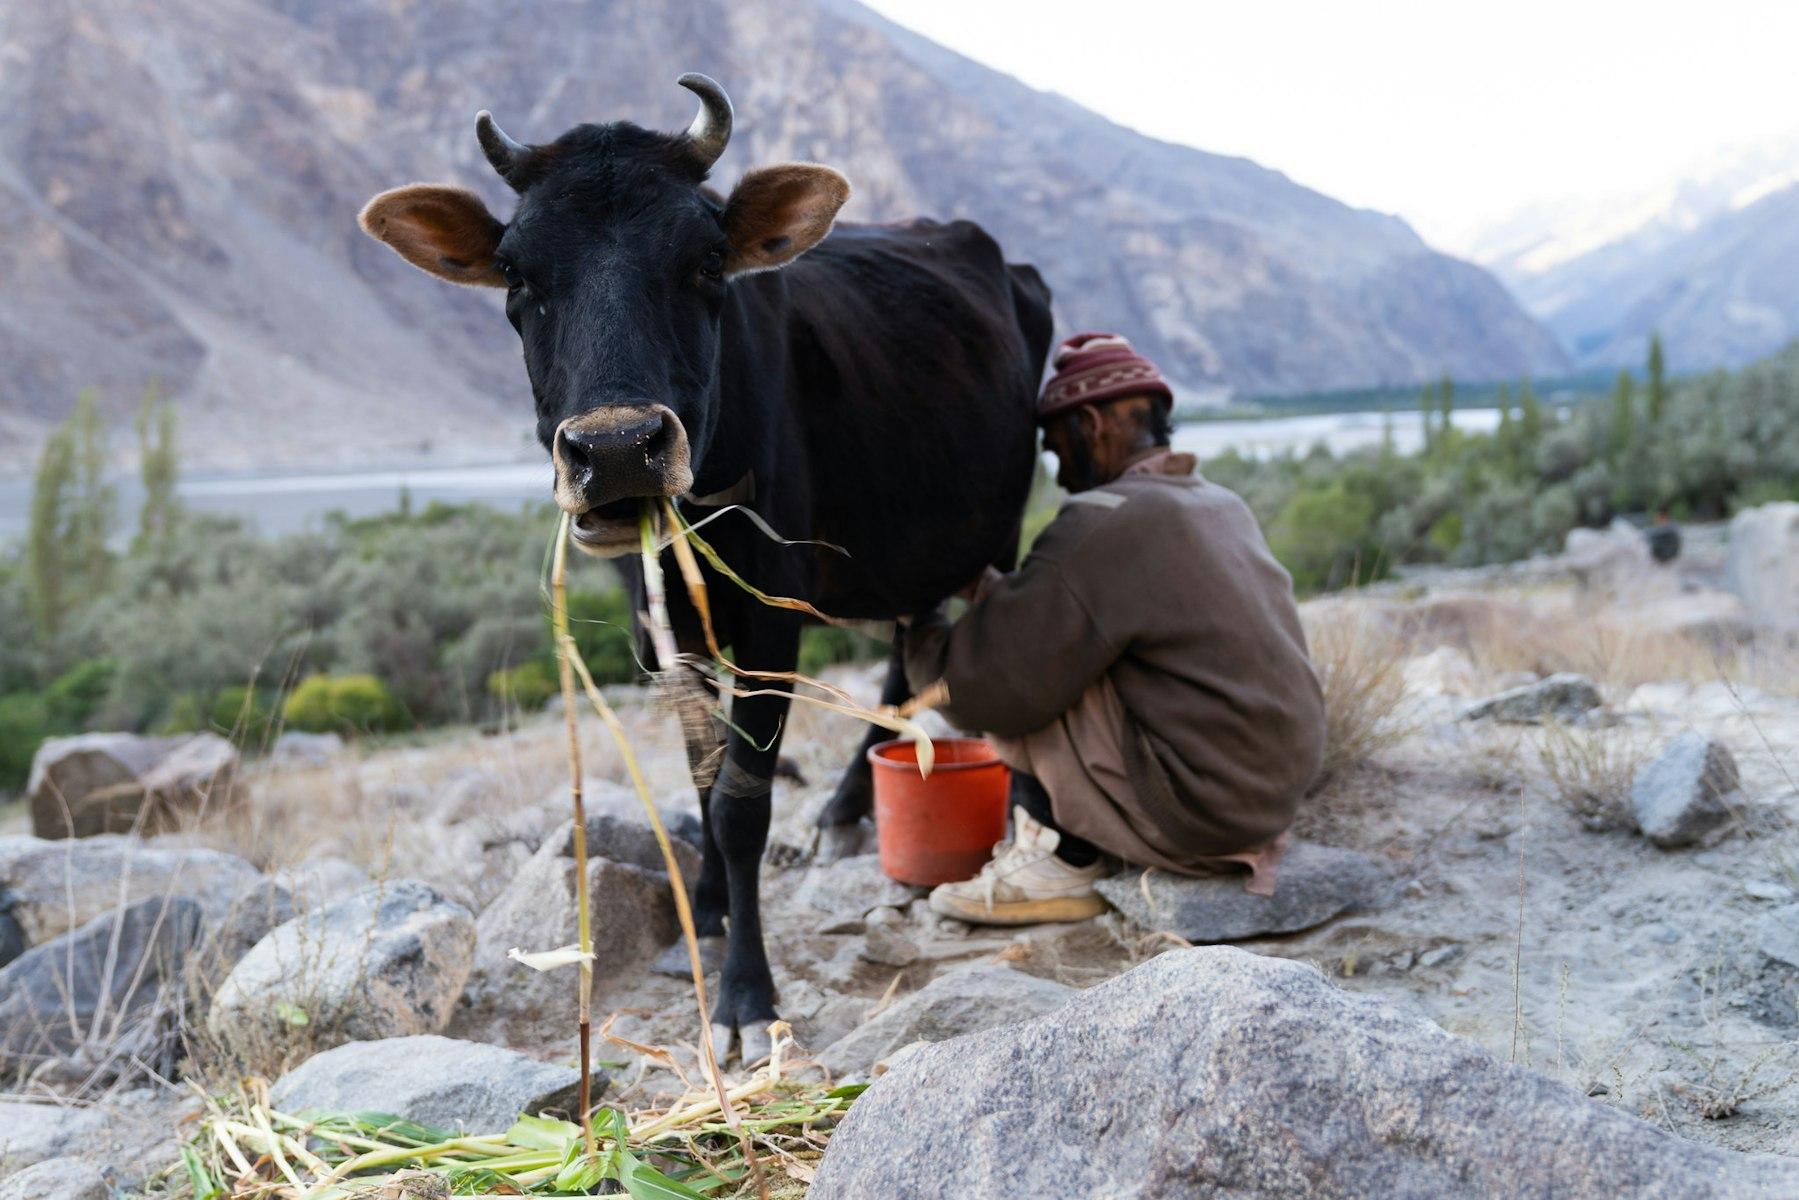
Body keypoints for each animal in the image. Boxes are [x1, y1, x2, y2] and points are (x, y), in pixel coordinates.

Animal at [356, 75, 1050, 1057]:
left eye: (707, 260)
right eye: (517, 274)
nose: (617, 451)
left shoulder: (772, 617)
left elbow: (738, 805)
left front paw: (745, 995)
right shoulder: (658, 621)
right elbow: (701, 769)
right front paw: (715, 908)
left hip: (997, 529)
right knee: (909, 649)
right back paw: (845, 810)